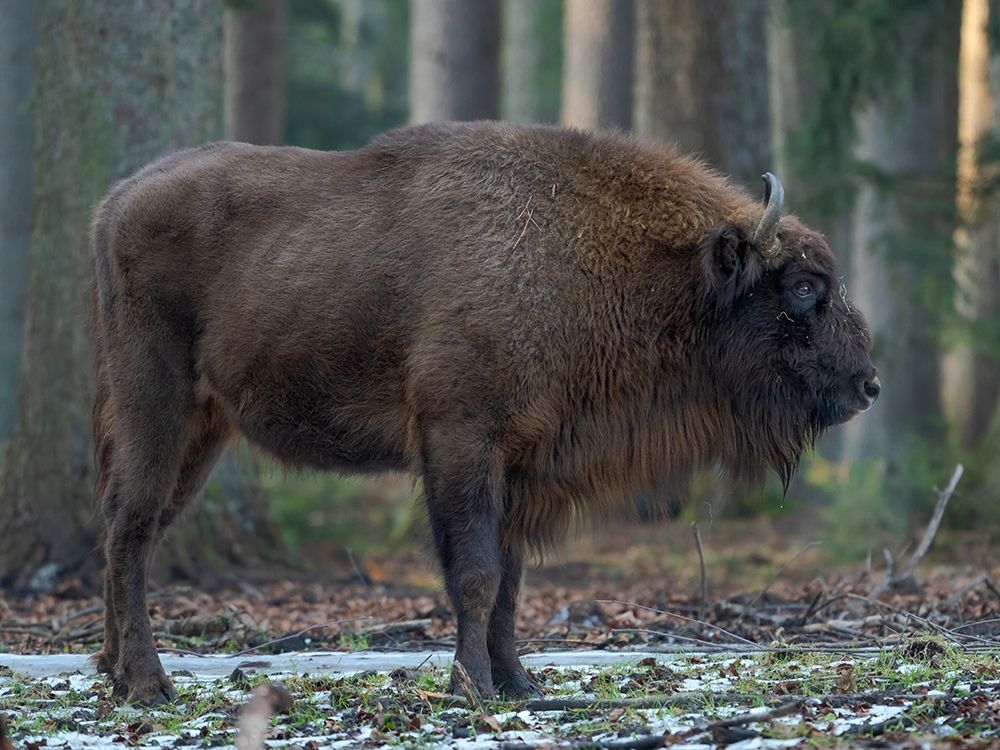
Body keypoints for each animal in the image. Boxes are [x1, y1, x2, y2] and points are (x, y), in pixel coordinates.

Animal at [90, 121, 878, 705]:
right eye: (805, 287)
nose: (868, 384)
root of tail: (116, 202)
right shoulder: (462, 442)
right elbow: (475, 573)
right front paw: (470, 687)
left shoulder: (523, 466)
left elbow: (511, 580)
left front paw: (518, 683)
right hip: (155, 403)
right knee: (131, 529)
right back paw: (150, 685)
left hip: (203, 429)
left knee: (131, 529)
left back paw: (114, 672)